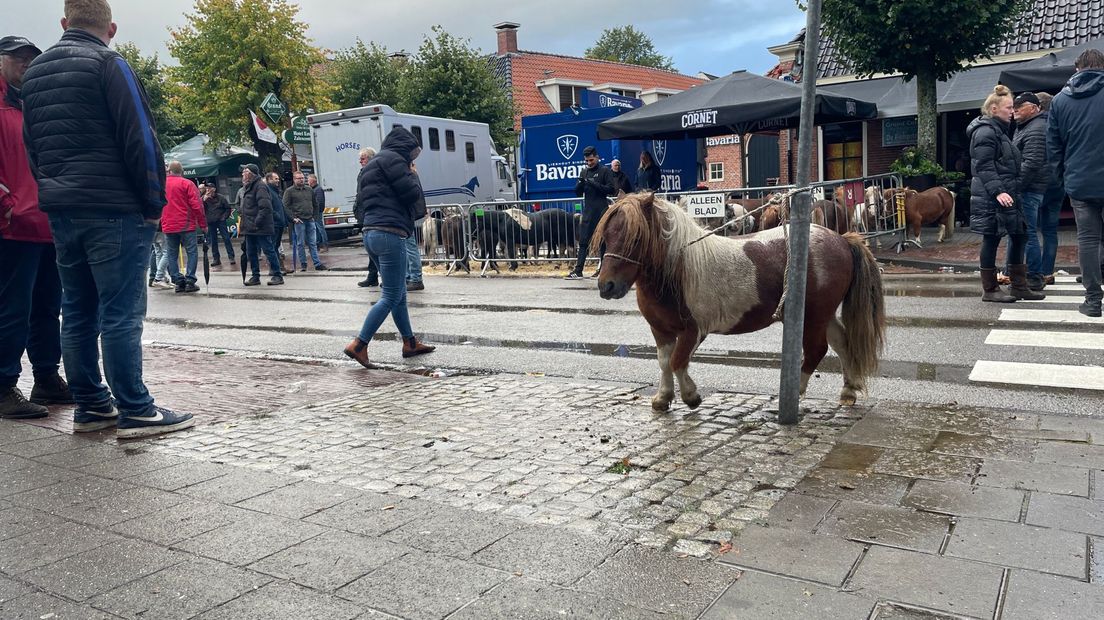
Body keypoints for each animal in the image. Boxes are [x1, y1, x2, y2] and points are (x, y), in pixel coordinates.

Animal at [591, 193, 883, 405]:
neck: (678, 269)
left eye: (636, 237)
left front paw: (691, 396)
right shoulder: (660, 330)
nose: (607, 286)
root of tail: (842, 240)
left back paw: (794, 393)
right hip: (822, 315)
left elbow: (677, 361)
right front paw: (663, 398)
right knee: (842, 343)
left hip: (814, 317)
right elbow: (665, 362)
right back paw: (848, 391)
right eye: (606, 236)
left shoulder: (693, 331)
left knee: (816, 351)